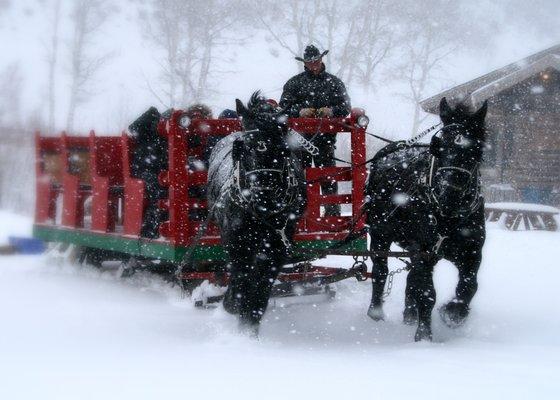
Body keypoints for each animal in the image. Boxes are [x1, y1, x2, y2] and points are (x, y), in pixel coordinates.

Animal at [207, 92, 306, 332]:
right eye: (244, 148)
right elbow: (242, 280)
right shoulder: (236, 242)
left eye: (284, 149)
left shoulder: (276, 248)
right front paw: (233, 306)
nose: (264, 198)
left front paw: (249, 328)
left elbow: (259, 289)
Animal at [366, 98, 488, 342]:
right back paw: (376, 313)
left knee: (411, 276)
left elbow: (469, 286)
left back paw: (409, 314)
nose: (448, 197)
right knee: (380, 270)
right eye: (438, 147)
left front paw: (453, 313)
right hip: (380, 234)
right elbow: (427, 293)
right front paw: (424, 336)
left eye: (476, 150)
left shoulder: (472, 251)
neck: (449, 218)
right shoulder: (423, 250)